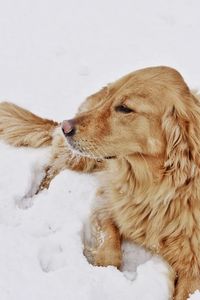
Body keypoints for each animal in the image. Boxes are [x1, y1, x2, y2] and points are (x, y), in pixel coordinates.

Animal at [0, 67, 200, 298]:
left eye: (124, 108)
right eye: (109, 96)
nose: (67, 127)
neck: (152, 187)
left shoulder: (194, 268)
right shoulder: (106, 200)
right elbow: (110, 249)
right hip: (79, 158)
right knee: (51, 170)